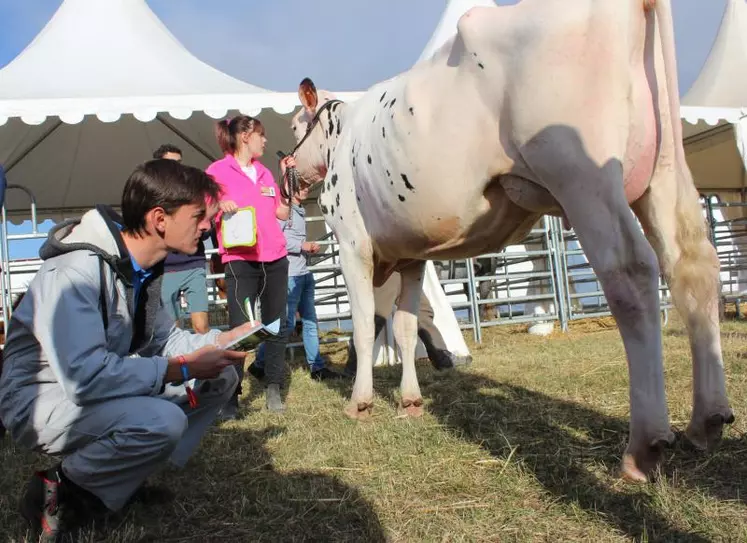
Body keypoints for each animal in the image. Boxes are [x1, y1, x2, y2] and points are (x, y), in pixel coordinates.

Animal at [290, 0, 732, 484]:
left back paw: (645, 446)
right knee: (692, 264)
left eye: (294, 125)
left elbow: (366, 327)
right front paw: (410, 401)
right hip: (664, 171)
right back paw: (707, 420)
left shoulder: (353, 244)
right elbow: (405, 328)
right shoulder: (411, 256)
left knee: (631, 271)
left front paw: (360, 403)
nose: (286, 167)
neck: (342, 135)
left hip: (583, 173)